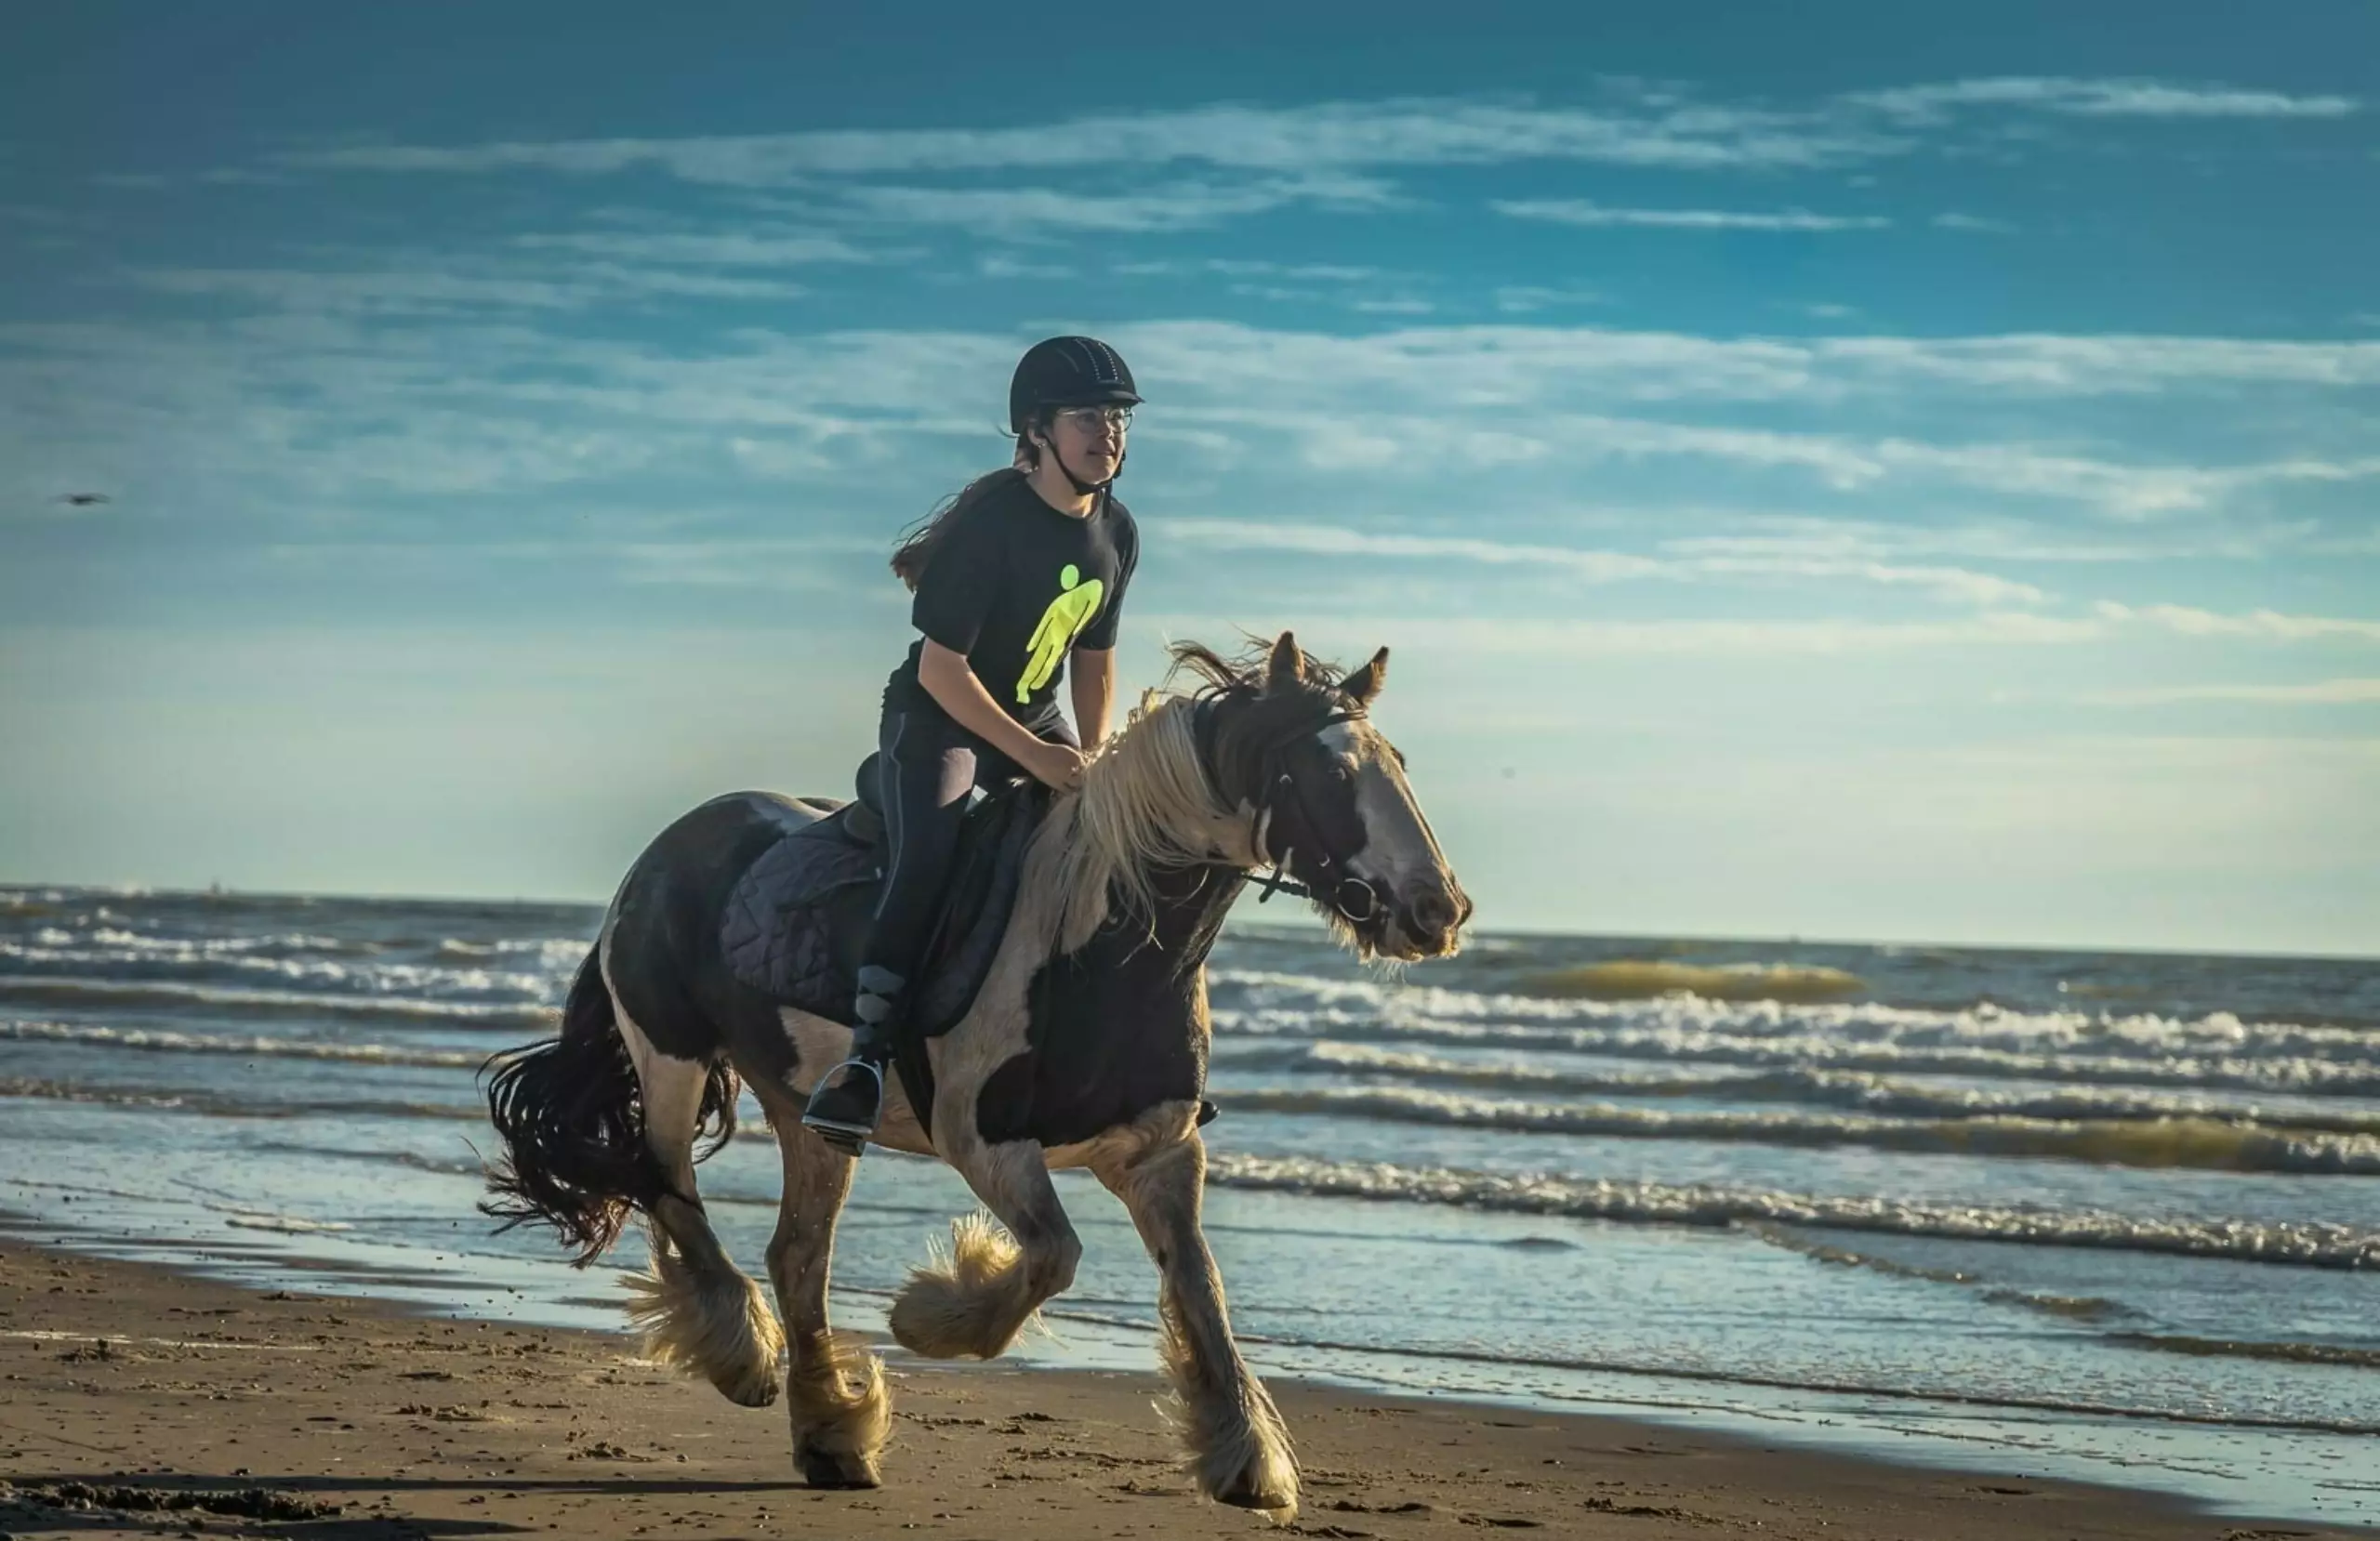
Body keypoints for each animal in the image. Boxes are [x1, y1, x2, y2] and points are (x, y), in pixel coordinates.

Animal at [478, 632, 1470, 1518]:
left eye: (1399, 764)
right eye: (1330, 775)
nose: (1438, 910)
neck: (1108, 944)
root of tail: (662, 853)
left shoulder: (1159, 1153)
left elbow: (1202, 1292)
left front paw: (1245, 1461)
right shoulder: (986, 1140)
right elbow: (1057, 1254)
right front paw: (929, 1319)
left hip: (811, 1114)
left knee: (796, 1255)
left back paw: (831, 1436)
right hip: (671, 1059)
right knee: (668, 1188)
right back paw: (745, 1358)